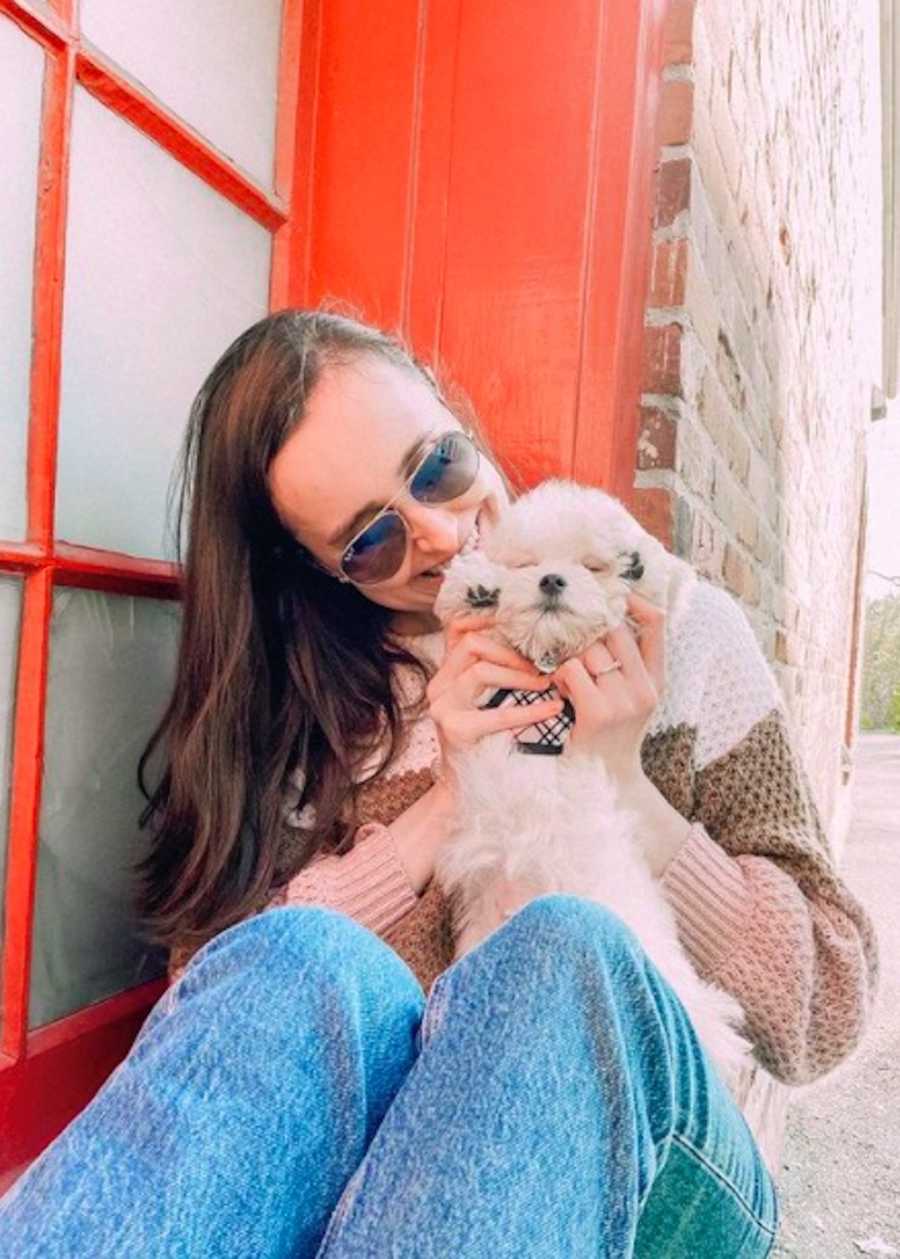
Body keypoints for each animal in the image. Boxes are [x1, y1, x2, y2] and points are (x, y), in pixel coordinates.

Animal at [433, 475, 755, 1087]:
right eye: (528, 563)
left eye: (592, 566)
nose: (551, 579)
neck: (547, 678)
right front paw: (477, 586)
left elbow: (661, 585)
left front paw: (644, 567)